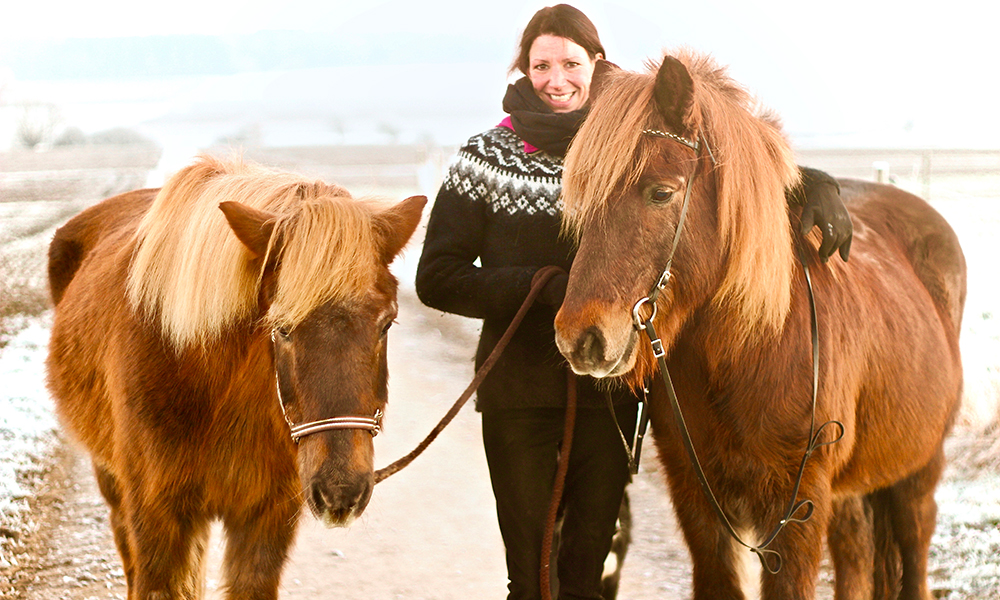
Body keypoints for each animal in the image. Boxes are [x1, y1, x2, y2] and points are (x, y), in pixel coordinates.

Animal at [556, 52, 968, 600]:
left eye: (661, 193)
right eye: (581, 197)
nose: (579, 337)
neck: (748, 349)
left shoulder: (796, 507)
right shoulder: (697, 498)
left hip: (918, 471)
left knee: (914, 546)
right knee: (857, 553)